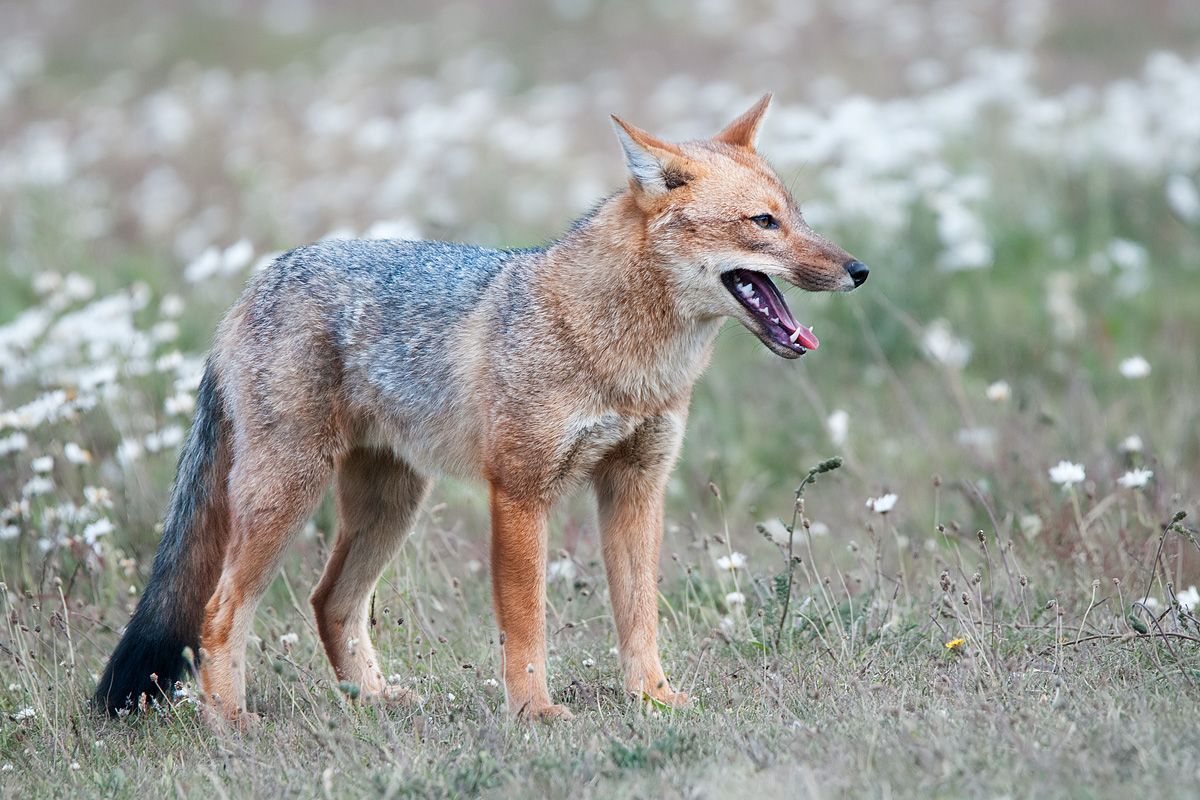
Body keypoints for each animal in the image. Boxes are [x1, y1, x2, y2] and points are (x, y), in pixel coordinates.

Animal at [93, 93, 868, 723]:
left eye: (798, 217)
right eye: (763, 222)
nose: (859, 270)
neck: (616, 352)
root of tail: (253, 285)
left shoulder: (636, 486)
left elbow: (639, 616)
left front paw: (653, 699)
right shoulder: (519, 493)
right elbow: (526, 625)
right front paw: (535, 713)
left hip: (391, 505)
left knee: (328, 600)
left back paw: (374, 701)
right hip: (288, 495)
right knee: (219, 613)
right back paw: (231, 723)